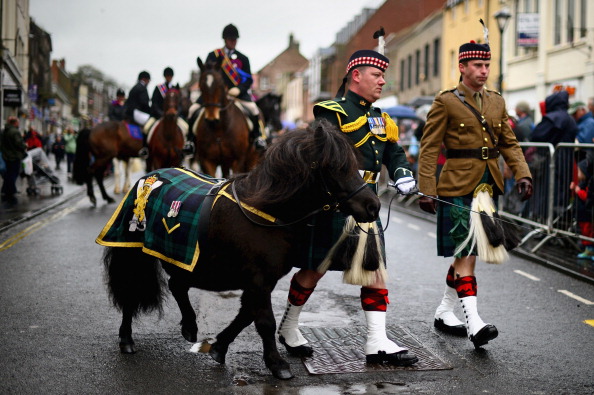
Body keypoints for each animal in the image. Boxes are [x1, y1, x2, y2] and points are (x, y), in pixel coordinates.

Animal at [100, 120, 380, 380]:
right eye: (336, 167)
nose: (373, 206)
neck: (264, 213)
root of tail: (148, 177)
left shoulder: (259, 281)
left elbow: (246, 315)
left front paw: (218, 347)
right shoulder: (258, 280)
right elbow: (264, 321)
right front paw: (277, 364)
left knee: (177, 285)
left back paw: (189, 326)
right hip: (134, 251)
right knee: (131, 289)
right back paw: (126, 339)